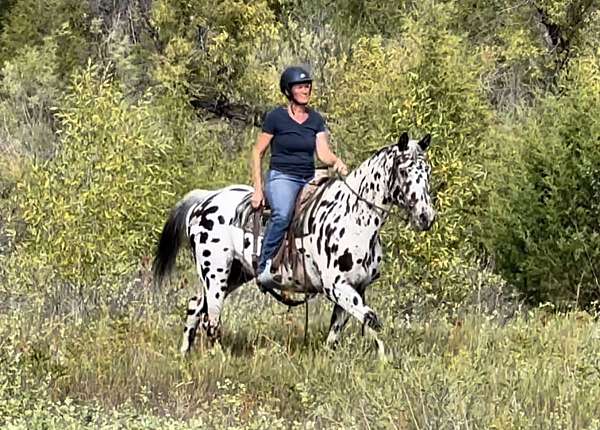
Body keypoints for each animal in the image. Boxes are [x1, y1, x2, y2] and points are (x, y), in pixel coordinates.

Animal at [152, 133, 436, 358]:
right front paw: (386, 361)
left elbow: (341, 329)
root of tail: (204, 200)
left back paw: (184, 354)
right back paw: (220, 358)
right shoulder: (337, 287)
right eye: (403, 171)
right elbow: (372, 319)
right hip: (215, 272)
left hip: (235, 274)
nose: (426, 217)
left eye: (427, 171)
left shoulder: (357, 287)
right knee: (211, 319)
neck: (353, 218)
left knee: (196, 306)